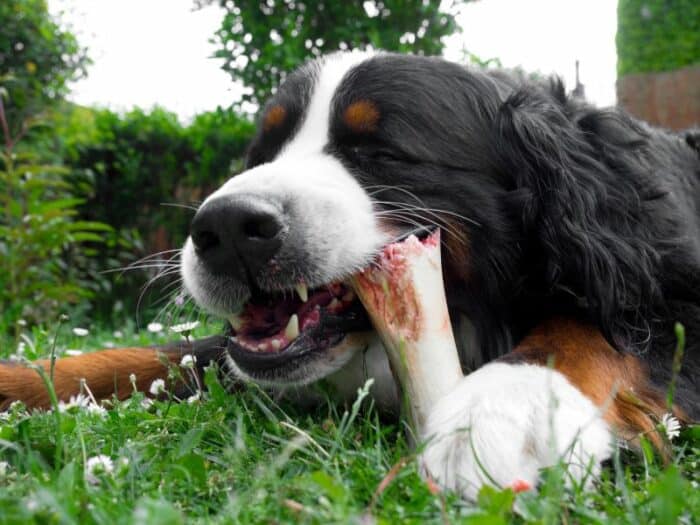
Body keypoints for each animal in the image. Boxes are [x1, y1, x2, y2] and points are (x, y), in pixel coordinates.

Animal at [1, 51, 700, 498]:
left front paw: (505, 409)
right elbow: (123, 358)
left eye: (378, 151)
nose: (225, 227)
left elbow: (580, 330)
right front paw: (17, 381)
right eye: (260, 153)